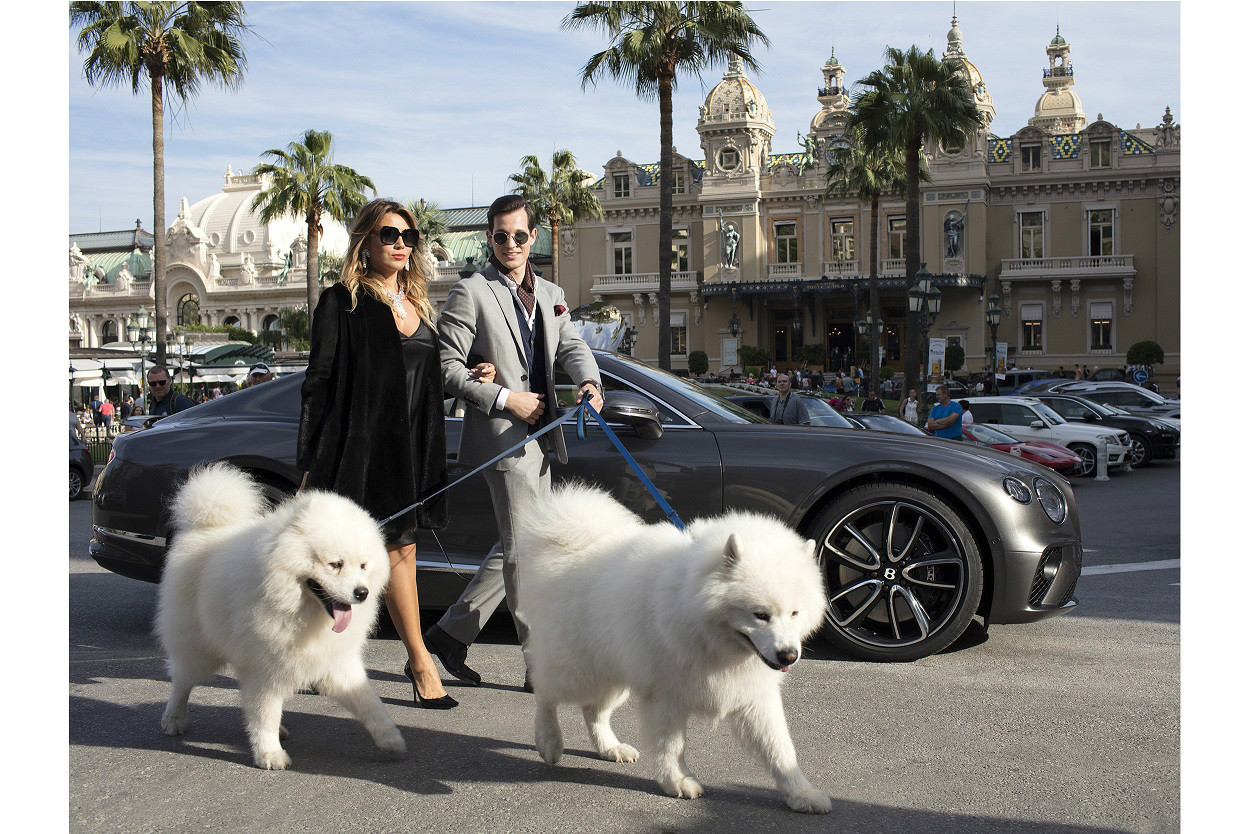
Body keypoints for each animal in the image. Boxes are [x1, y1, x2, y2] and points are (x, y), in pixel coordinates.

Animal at [151, 462, 405, 770]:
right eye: (335, 564)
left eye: (364, 566)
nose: (362, 592)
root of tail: (206, 527)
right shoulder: (265, 666)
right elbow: (264, 712)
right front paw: (270, 754)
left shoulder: (334, 660)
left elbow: (369, 701)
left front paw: (391, 738)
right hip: (198, 645)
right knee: (182, 681)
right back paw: (173, 719)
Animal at [512, 482, 835, 815]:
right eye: (760, 615)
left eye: (795, 613)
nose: (789, 655)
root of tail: (569, 546)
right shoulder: (666, 695)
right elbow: (672, 745)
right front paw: (677, 781)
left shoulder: (754, 697)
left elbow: (781, 750)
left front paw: (801, 794)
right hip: (578, 672)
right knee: (545, 693)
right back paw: (549, 742)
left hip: (615, 673)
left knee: (593, 711)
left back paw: (610, 747)